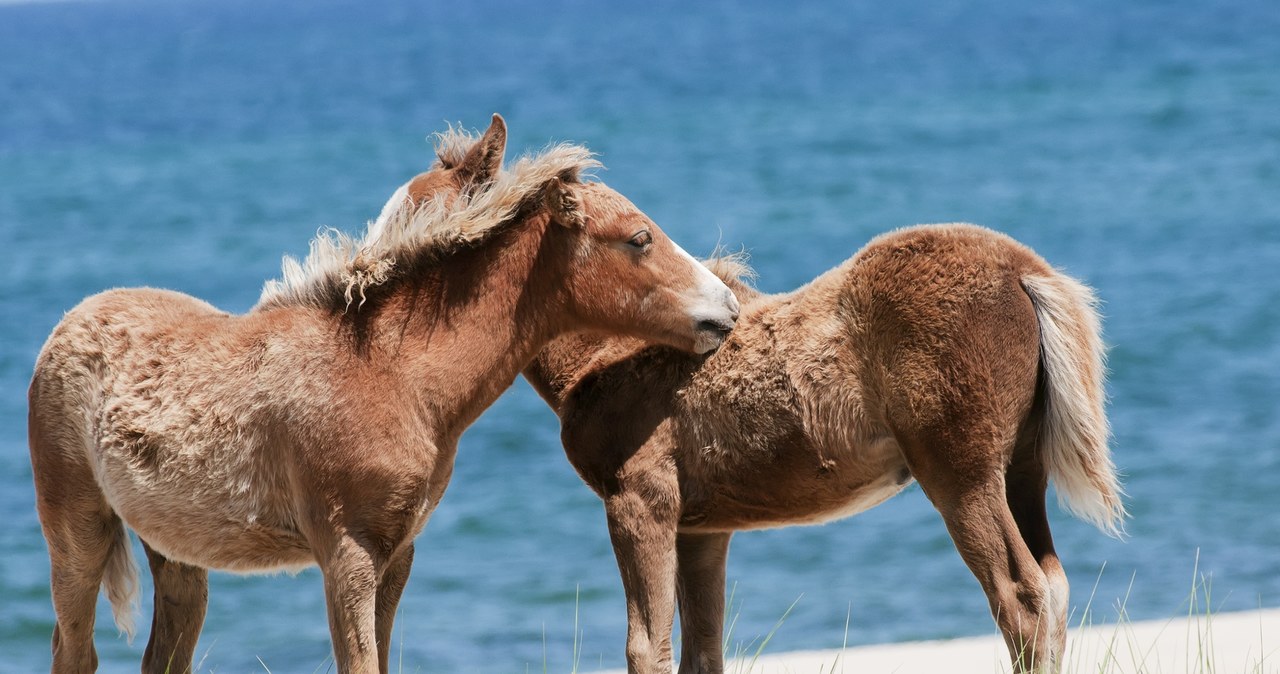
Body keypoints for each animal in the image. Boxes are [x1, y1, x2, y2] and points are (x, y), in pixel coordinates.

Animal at [27, 116, 742, 674]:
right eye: (640, 238)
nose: (728, 308)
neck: (392, 373)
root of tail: (69, 320)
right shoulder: (346, 552)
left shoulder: (398, 553)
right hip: (75, 526)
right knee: (74, 650)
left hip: (174, 550)